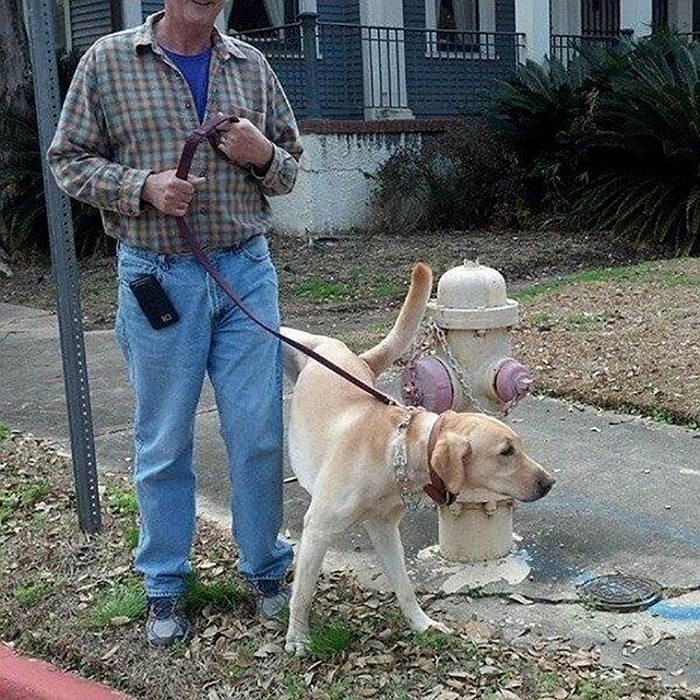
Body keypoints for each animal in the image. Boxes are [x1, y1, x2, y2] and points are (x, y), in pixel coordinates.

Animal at [282, 262, 556, 656]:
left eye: (519, 445)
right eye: (506, 452)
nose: (549, 483)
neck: (395, 450)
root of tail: (355, 357)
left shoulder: (384, 529)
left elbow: (404, 586)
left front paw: (421, 625)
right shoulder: (318, 529)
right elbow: (302, 592)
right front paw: (298, 637)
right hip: (306, 342)